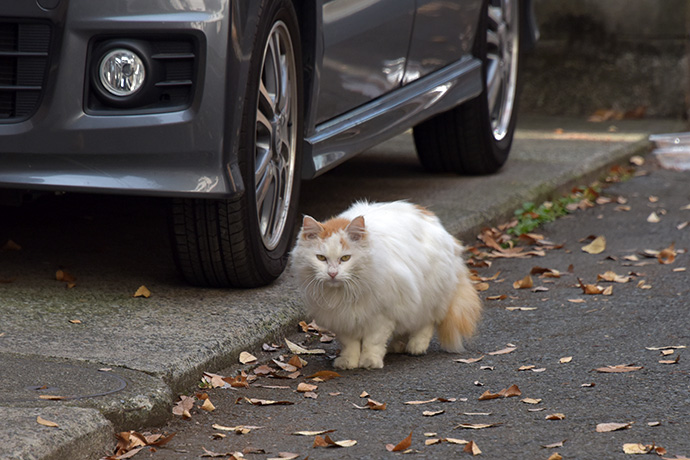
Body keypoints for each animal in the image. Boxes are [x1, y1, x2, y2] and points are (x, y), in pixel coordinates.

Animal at [288, 201, 478, 370]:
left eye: (345, 258)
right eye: (321, 258)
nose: (332, 273)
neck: (345, 293)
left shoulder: (380, 317)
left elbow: (372, 342)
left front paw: (369, 362)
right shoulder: (344, 318)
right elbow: (350, 345)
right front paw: (348, 362)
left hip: (428, 296)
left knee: (427, 322)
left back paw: (416, 346)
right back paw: (397, 345)